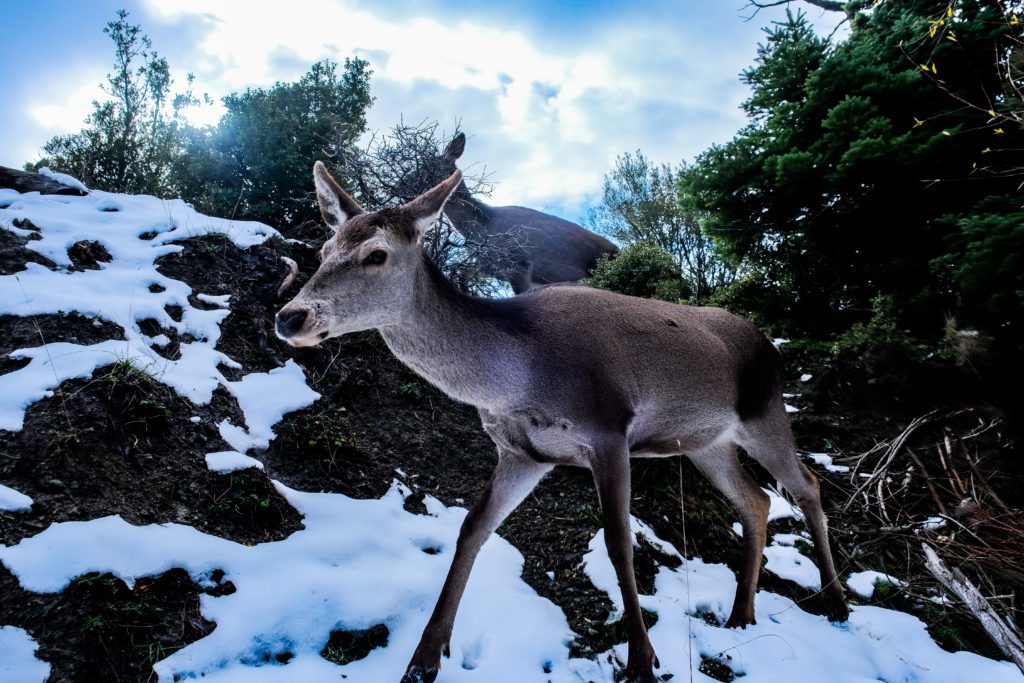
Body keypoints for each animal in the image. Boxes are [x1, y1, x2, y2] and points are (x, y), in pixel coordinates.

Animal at [276, 163, 851, 683]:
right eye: (325, 252)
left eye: (376, 254)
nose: (290, 316)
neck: (520, 378)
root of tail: (769, 344)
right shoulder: (522, 453)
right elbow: (472, 528)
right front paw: (423, 659)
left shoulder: (608, 429)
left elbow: (618, 543)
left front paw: (643, 662)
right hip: (705, 442)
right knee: (757, 500)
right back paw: (741, 613)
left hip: (765, 412)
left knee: (807, 484)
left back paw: (837, 603)